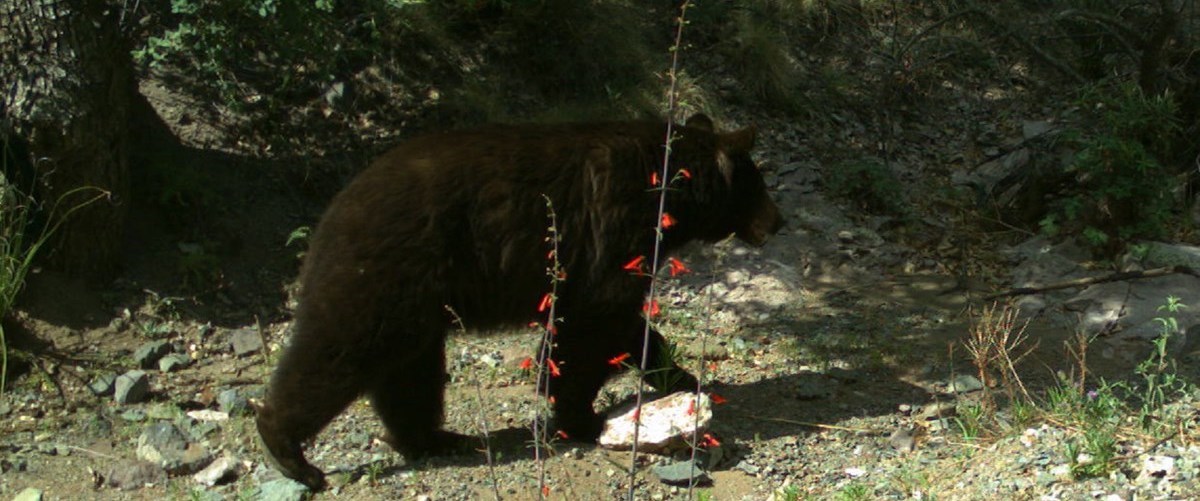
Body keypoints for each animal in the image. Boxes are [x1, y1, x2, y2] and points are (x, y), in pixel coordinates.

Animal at [256, 115, 782, 486]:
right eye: (760, 186)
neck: (670, 183)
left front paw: (680, 376)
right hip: (387, 273)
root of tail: (332, 212)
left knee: (409, 371)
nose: (778, 221)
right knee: (339, 350)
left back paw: (436, 438)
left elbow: (622, 325)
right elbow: (594, 322)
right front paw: (579, 414)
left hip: (416, 299)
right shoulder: (614, 231)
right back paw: (290, 453)